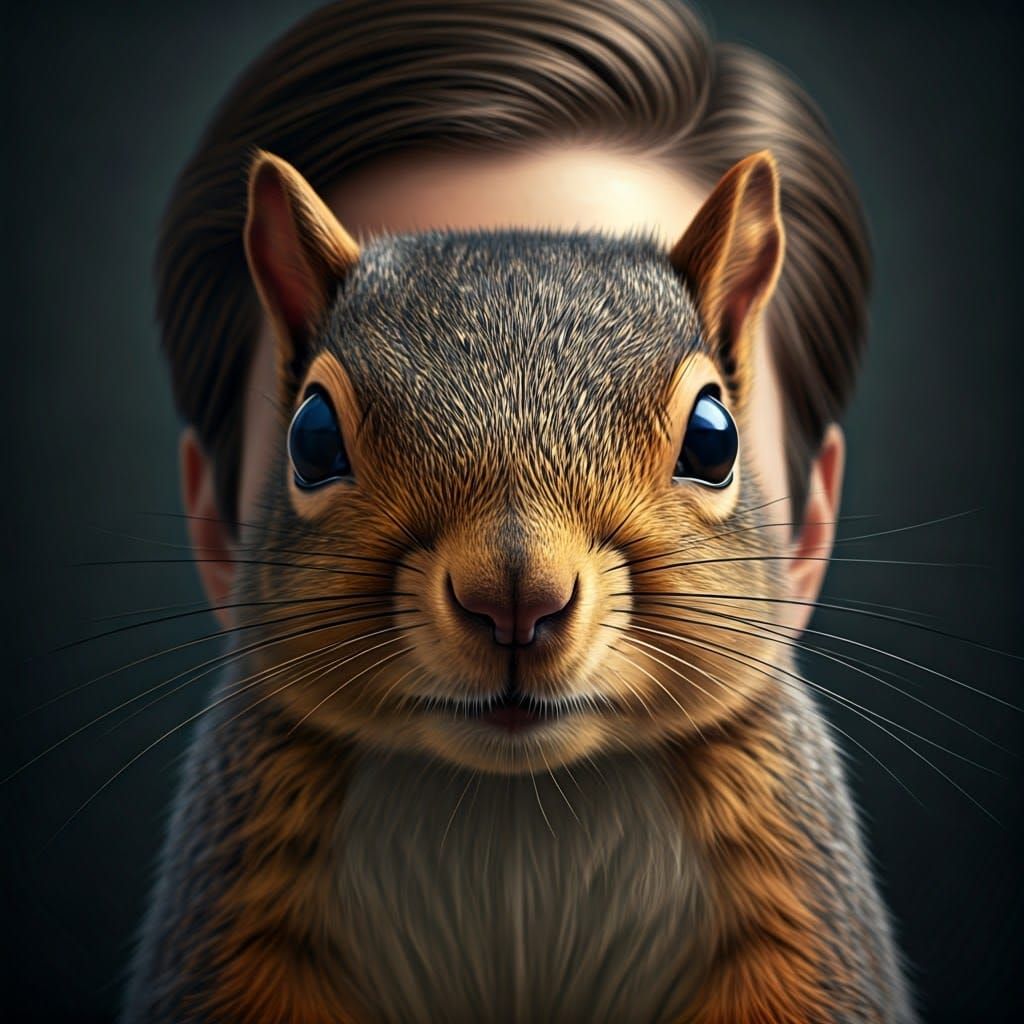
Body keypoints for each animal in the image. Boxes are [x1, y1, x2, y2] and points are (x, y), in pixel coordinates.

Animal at [121, 149, 917, 1024]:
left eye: (714, 439)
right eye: (312, 439)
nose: (514, 598)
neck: (516, 799)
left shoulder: (792, 877)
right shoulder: (239, 883)